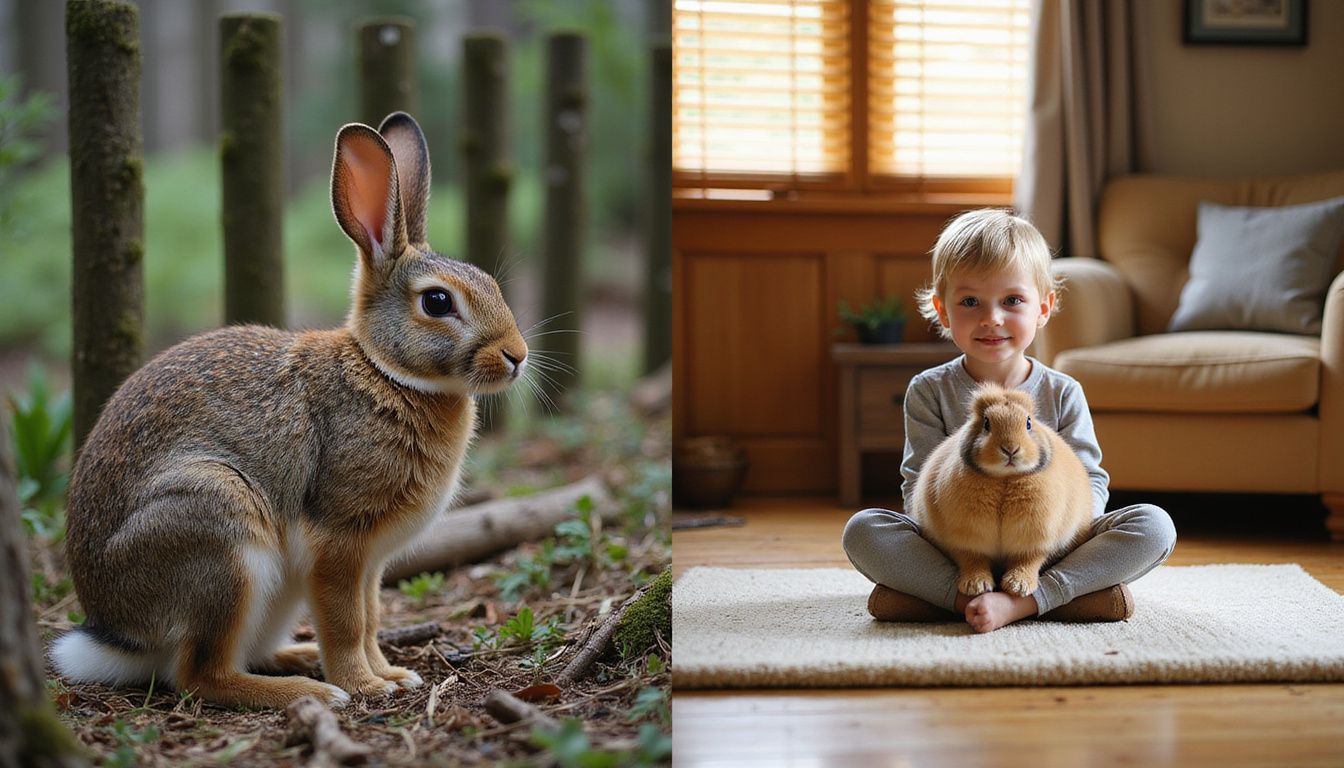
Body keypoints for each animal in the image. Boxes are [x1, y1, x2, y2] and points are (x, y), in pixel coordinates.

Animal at [51, 112, 528, 709]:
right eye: (438, 302)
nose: (517, 355)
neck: (385, 372)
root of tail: (116, 633)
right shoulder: (340, 541)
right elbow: (347, 622)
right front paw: (365, 685)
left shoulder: (371, 563)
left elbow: (372, 616)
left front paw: (392, 675)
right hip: (220, 534)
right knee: (200, 674)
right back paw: (312, 692)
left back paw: (298, 661)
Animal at [913, 382, 1093, 599]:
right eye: (986, 424)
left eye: (1029, 423)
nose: (1010, 449)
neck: (1004, 478)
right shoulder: (966, 539)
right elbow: (972, 559)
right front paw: (976, 586)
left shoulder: (1035, 539)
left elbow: (1028, 560)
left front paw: (1017, 586)